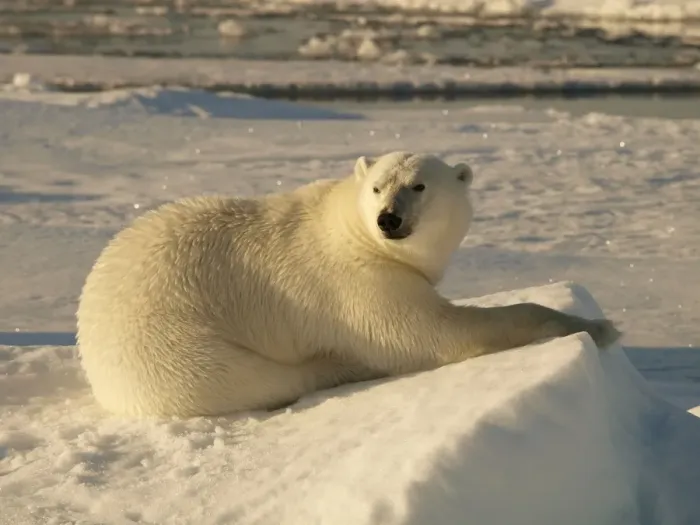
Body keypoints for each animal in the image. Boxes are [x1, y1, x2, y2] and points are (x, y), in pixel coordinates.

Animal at [76, 151, 620, 418]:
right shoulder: (358, 282)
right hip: (171, 348)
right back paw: (338, 366)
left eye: (419, 185)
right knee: (258, 377)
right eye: (378, 186)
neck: (353, 226)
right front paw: (599, 326)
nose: (389, 219)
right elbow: (433, 334)